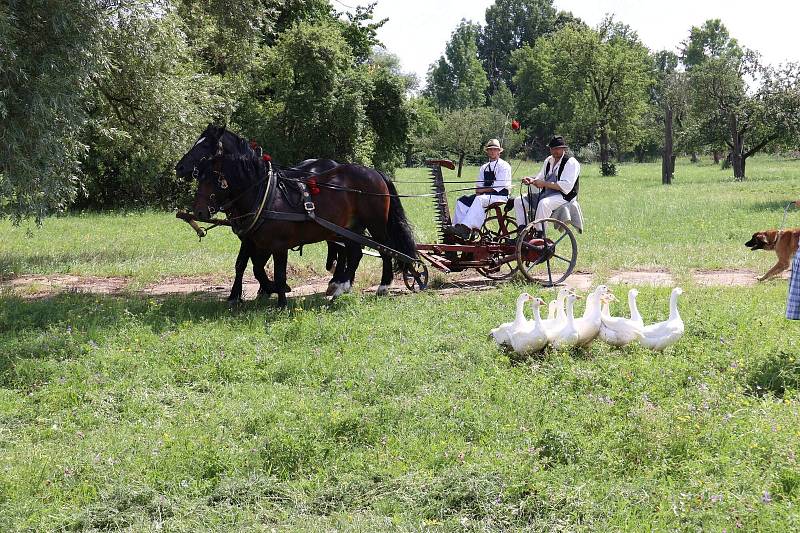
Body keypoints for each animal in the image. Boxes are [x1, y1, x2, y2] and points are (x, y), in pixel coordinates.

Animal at [173, 124, 412, 306]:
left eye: (205, 145)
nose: (179, 167)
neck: (264, 191)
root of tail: (374, 172)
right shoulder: (251, 238)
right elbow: (246, 265)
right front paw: (243, 295)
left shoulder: (275, 243)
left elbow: (271, 270)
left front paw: (276, 295)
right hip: (349, 228)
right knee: (354, 252)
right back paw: (340, 286)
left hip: (374, 224)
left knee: (385, 249)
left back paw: (381, 285)